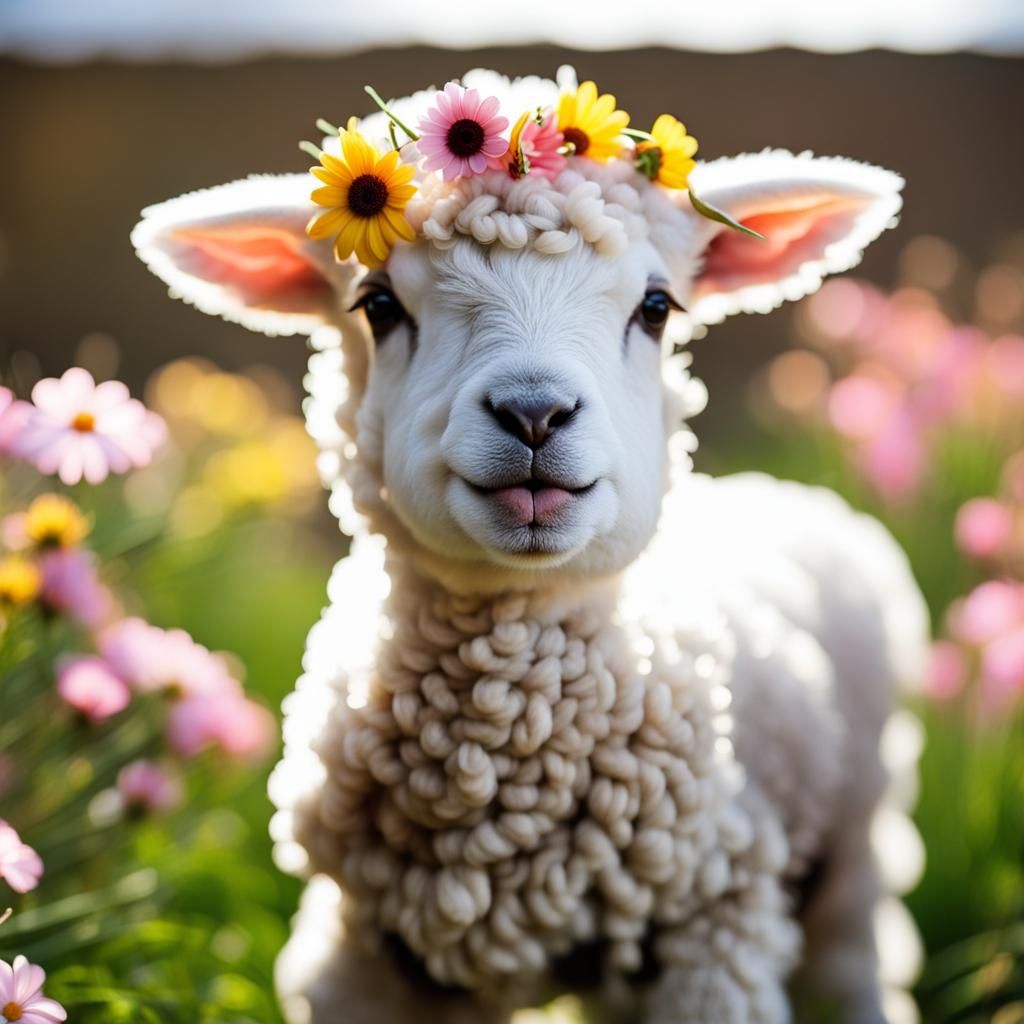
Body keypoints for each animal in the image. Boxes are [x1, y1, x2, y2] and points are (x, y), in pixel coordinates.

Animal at [132, 68, 929, 1024]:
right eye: (378, 305)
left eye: (656, 308)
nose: (534, 413)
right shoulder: (362, 954)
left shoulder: (717, 932)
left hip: (858, 835)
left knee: (855, 962)